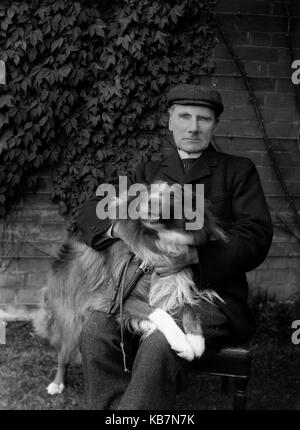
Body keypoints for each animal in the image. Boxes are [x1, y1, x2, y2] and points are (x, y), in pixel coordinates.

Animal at [34, 181, 226, 394]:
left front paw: (196, 340)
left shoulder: (175, 284)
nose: (149, 203)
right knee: (63, 351)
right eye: (147, 193)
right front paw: (181, 341)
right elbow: (159, 312)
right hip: (70, 316)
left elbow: (188, 306)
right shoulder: (114, 297)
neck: (160, 243)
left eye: (172, 194)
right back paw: (57, 382)